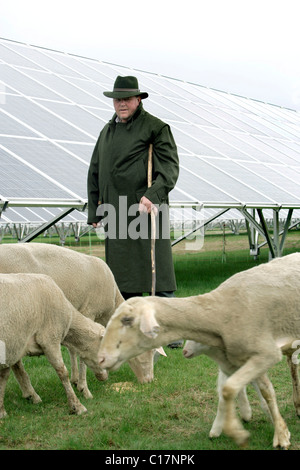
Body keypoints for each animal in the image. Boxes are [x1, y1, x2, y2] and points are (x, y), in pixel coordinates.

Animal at [0, 242, 159, 396]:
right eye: (146, 349)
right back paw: (30, 392)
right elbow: (83, 349)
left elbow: (73, 348)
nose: (149, 381)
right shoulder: (89, 312)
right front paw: (84, 388)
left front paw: (75, 380)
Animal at [0, 270, 107, 416]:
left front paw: (2, 411)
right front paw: (77, 406)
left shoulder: (13, 346)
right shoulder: (49, 339)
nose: (105, 377)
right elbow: (63, 372)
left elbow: (6, 376)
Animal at [98, 253, 300, 448]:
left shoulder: (266, 354)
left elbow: (233, 389)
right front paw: (277, 429)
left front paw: (256, 434)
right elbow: (263, 391)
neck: (220, 312)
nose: (100, 359)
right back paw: (297, 405)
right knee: (293, 365)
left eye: (127, 320)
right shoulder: (248, 358)